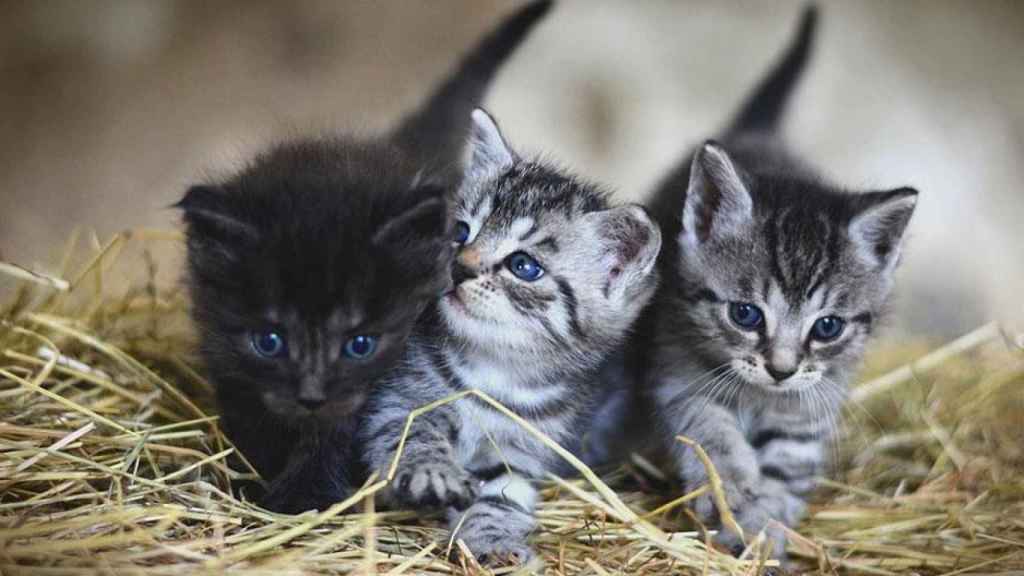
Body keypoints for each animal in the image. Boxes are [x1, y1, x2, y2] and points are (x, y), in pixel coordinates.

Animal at [180, 0, 557, 510]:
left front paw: (304, 497)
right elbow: (252, 419)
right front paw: (257, 476)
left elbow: (338, 436)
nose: (312, 396)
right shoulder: (228, 361)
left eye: (360, 344)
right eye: (269, 341)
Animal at [362, 106, 663, 561]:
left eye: (524, 266)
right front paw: (431, 469)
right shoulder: (394, 401)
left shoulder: (522, 450)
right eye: (460, 232)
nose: (460, 268)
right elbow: (410, 432)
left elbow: (502, 496)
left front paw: (494, 540)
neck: (495, 370)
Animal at [643, 3, 917, 553]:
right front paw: (731, 487)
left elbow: (789, 464)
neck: (760, 396)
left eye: (828, 327)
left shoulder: (812, 403)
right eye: (746, 315)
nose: (781, 370)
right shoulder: (675, 367)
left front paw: (765, 525)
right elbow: (706, 426)